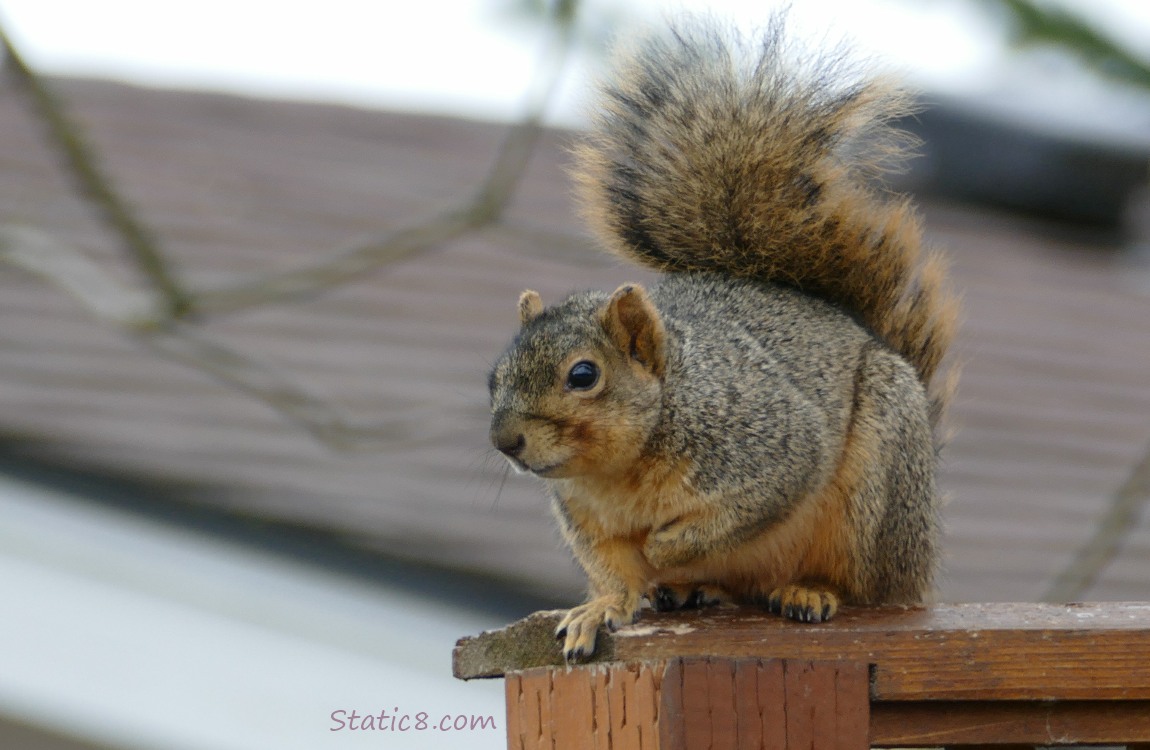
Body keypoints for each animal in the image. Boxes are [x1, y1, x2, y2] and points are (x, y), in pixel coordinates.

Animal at [485, 16, 961, 662]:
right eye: (493, 378)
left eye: (583, 375)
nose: (505, 441)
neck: (621, 468)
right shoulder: (590, 523)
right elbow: (613, 574)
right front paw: (599, 609)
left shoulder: (773, 448)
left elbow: (743, 509)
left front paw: (665, 548)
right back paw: (693, 590)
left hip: (878, 486)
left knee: (863, 585)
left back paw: (809, 590)